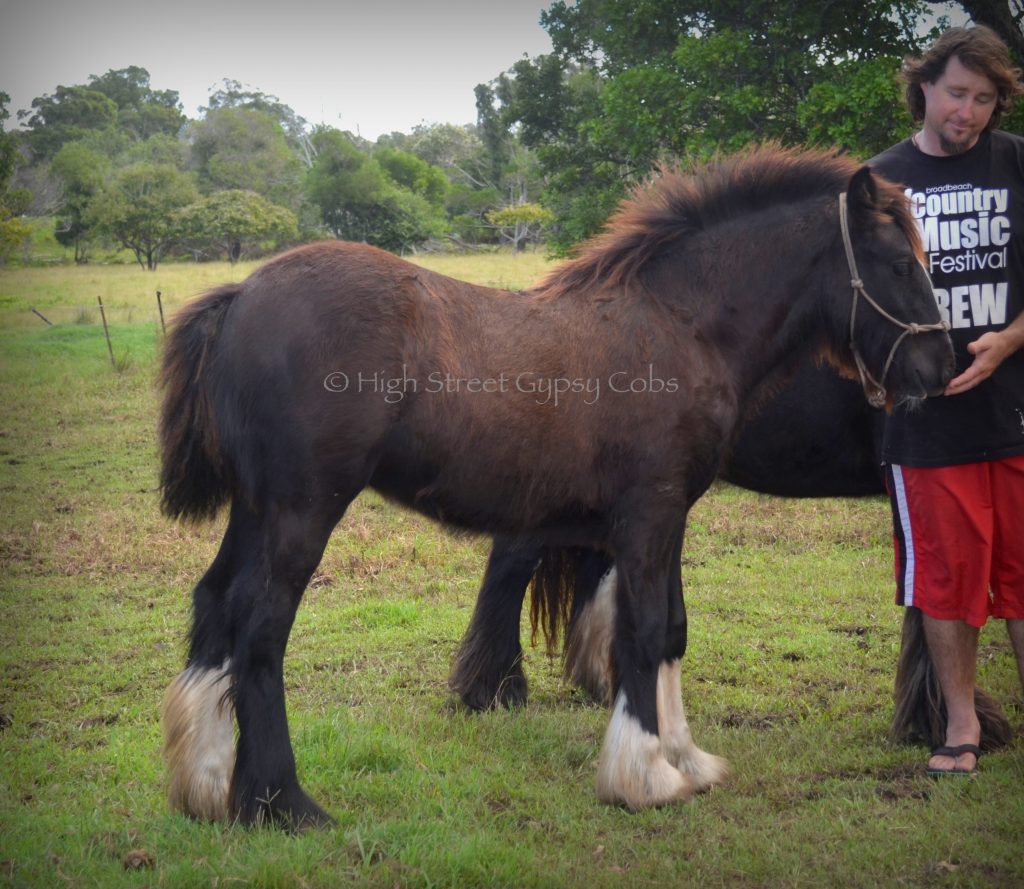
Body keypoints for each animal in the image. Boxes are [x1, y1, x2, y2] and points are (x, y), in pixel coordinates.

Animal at [157, 145, 950, 827]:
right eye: (897, 263)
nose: (939, 368)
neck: (679, 325)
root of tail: (241, 293)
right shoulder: (649, 515)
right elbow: (645, 631)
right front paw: (645, 775)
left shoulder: (668, 515)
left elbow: (671, 630)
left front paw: (685, 759)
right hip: (301, 509)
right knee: (261, 627)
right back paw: (280, 801)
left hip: (255, 509)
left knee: (217, 604)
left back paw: (208, 788)